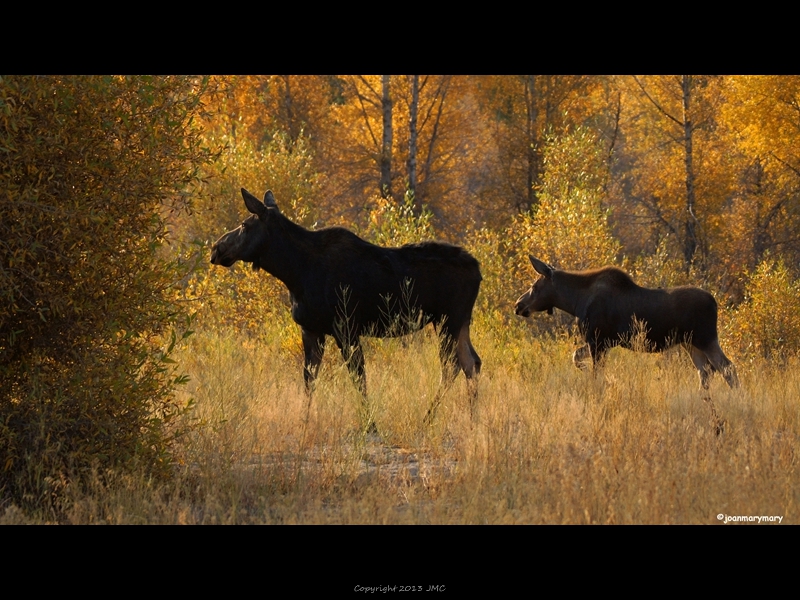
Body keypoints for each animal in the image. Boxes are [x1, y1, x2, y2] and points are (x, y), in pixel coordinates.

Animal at [209, 188, 482, 422]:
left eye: (244, 225)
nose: (216, 248)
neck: (294, 273)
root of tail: (478, 270)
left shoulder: (346, 327)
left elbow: (358, 379)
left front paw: (370, 424)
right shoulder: (311, 329)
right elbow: (309, 379)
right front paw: (304, 421)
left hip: (448, 320)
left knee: (452, 366)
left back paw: (428, 419)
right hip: (459, 323)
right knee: (472, 362)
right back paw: (472, 419)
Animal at [516, 255, 740, 392]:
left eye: (534, 286)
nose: (518, 305)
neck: (575, 302)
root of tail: (715, 302)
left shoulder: (598, 341)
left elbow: (593, 371)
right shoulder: (602, 343)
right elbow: (576, 357)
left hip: (705, 338)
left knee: (727, 367)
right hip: (690, 343)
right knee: (706, 371)